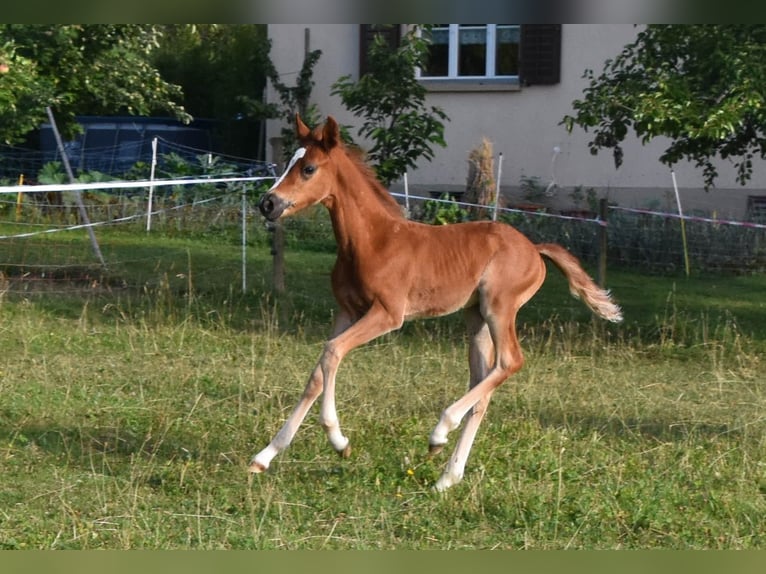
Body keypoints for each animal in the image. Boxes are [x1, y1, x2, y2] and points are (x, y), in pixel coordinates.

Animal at [252, 114, 622, 491]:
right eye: (289, 163)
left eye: (309, 168)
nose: (267, 203)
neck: (372, 240)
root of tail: (535, 248)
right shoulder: (347, 311)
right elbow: (318, 373)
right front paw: (265, 456)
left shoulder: (388, 314)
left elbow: (332, 352)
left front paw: (339, 441)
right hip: (476, 318)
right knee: (482, 385)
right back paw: (448, 476)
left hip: (499, 307)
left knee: (509, 361)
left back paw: (440, 432)